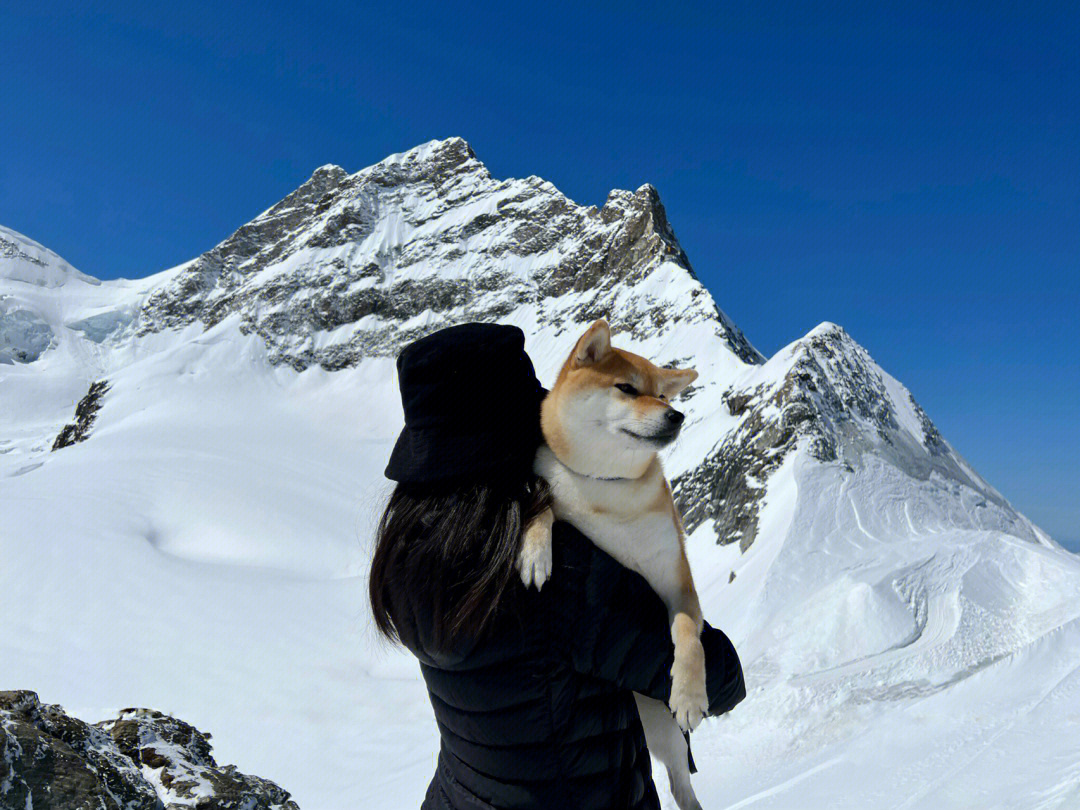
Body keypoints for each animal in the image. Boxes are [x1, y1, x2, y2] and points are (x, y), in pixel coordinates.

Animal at [516, 319, 704, 807]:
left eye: (663, 396)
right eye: (627, 388)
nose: (676, 416)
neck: (608, 486)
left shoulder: (677, 582)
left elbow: (687, 634)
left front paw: (690, 693)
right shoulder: (552, 489)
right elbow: (542, 510)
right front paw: (534, 552)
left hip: (665, 730)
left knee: (680, 780)